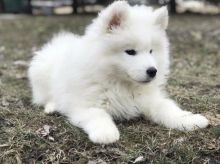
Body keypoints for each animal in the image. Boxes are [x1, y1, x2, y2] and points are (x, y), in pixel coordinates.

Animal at [28, 0, 209, 144]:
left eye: (151, 51)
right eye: (130, 52)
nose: (153, 71)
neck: (121, 84)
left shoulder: (149, 99)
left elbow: (168, 108)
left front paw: (190, 120)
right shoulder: (83, 104)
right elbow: (98, 114)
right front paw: (106, 133)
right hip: (42, 74)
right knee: (44, 96)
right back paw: (52, 106)